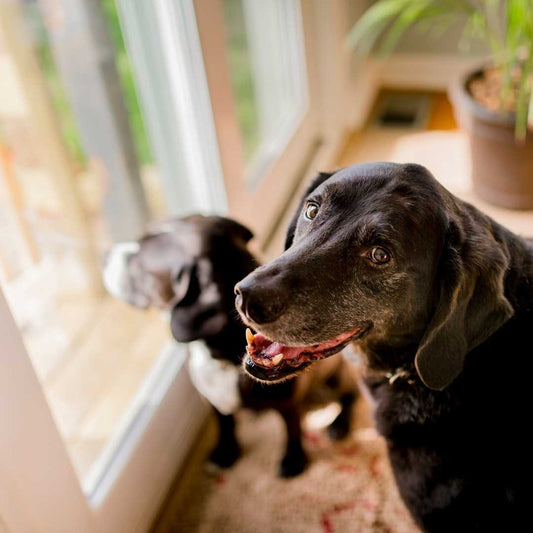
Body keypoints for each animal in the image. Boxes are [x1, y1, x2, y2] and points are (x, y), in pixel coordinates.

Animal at [103, 214, 358, 476]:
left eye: (138, 262)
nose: (105, 255)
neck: (223, 355)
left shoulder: (287, 401)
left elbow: (292, 427)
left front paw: (293, 459)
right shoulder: (212, 399)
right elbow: (225, 423)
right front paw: (225, 451)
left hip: (337, 378)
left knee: (350, 395)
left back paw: (339, 423)